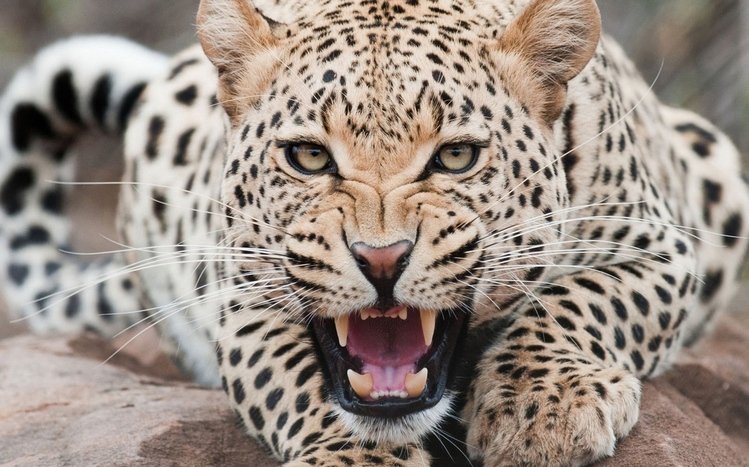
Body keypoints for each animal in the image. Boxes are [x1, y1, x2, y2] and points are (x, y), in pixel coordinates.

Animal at [2, 0, 748, 465]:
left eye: (456, 156)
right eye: (308, 156)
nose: (382, 259)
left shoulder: (658, 246)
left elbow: (581, 300)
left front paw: (542, 410)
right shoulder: (241, 295)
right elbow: (297, 381)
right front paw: (357, 457)